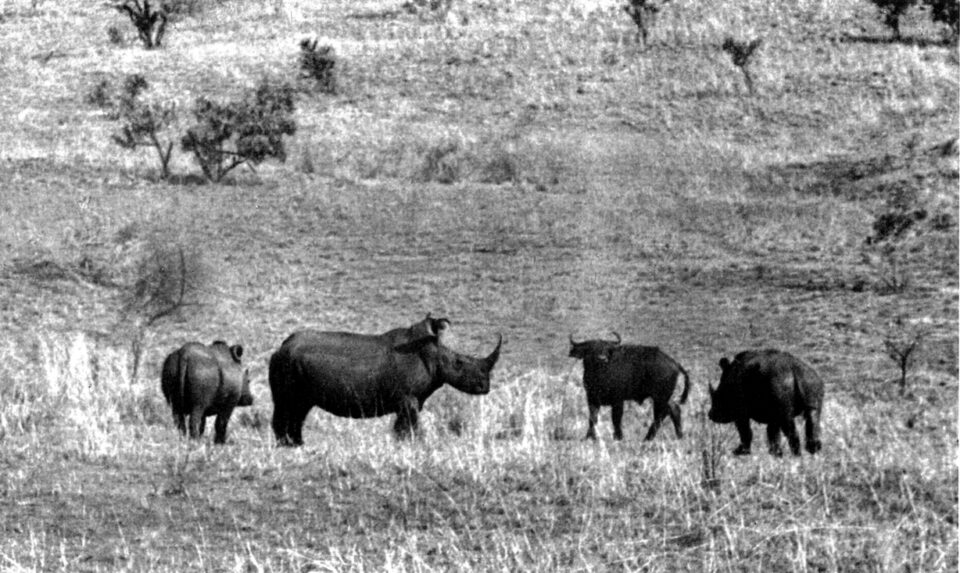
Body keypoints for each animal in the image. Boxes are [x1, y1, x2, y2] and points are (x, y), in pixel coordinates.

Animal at [268, 314, 502, 445]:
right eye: (459, 363)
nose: (486, 387)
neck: (432, 352)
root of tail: (281, 347)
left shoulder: (408, 400)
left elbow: (402, 427)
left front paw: (403, 445)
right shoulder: (408, 398)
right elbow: (410, 425)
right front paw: (413, 445)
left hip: (294, 367)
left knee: (300, 408)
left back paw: (297, 444)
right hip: (287, 364)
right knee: (288, 405)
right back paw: (287, 446)